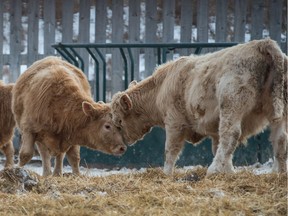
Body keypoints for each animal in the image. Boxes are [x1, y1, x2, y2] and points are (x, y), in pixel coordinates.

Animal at [109, 38, 286, 176]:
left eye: (119, 120)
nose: (124, 143)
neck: (161, 86)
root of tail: (262, 44)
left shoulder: (174, 123)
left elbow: (170, 150)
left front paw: (167, 173)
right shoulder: (213, 131)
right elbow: (217, 147)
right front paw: (228, 171)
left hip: (232, 106)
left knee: (231, 134)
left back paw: (213, 170)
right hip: (280, 112)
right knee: (280, 138)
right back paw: (278, 172)